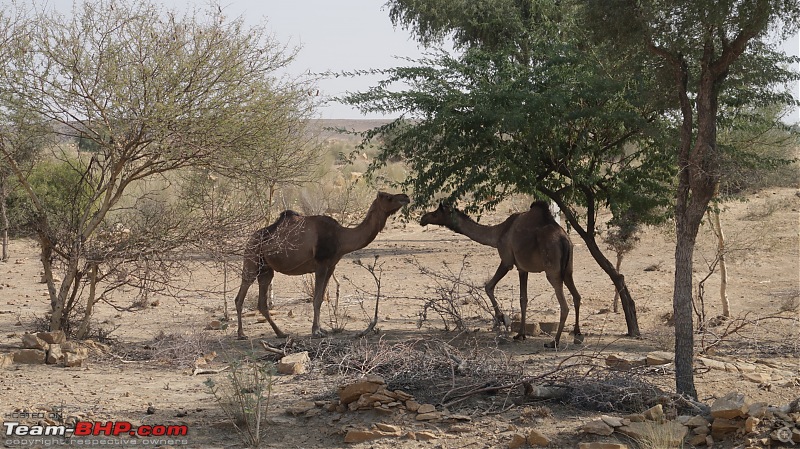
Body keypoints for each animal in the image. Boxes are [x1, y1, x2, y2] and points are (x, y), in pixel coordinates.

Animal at [233, 191, 410, 338]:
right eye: (388, 197)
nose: (406, 197)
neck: (341, 237)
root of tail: (251, 238)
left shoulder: (331, 266)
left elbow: (322, 298)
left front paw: (321, 329)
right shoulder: (321, 265)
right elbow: (317, 298)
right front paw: (316, 331)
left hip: (266, 269)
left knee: (262, 303)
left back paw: (281, 333)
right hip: (252, 258)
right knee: (240, 296)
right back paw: (242, 334)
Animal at [418, 201, 580, 348]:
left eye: (436, 212)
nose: (423, 218)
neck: (498, 233)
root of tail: (564, 240)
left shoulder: (507, 261)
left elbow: (488, 286)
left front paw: (502, 318)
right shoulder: (522, 268)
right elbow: (523, 299)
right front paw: (520, 334)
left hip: (552, 270)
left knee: (564, 305)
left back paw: (554, 342)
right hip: (568, 270)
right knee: (577, 296)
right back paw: (577, 335)